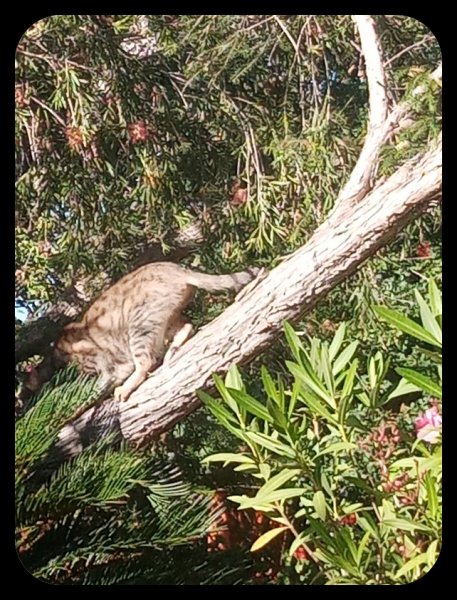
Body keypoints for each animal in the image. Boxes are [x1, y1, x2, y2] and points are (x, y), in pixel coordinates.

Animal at [23, 262, 258, 398]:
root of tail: (177, 269)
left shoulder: (104, 365)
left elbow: (100, 384)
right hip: (163, 318)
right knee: (187, 325)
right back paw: (173, 349)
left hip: (138, 323)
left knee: (145, 362)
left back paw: (126, 388)